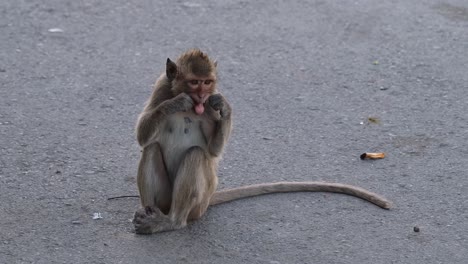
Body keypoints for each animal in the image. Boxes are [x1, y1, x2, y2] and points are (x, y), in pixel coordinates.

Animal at [132, 48, 392, 234]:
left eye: (207, 82)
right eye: (195, 82)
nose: (202, 95)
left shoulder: (209, 109)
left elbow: (213, 152)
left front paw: (226, 108)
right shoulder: (162, 88)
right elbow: (142, 137)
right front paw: (175, 103)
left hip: (198, 205)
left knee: (196, 155)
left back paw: (172, 222)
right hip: (169, 199)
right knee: (152, 148)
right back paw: (149, 213)